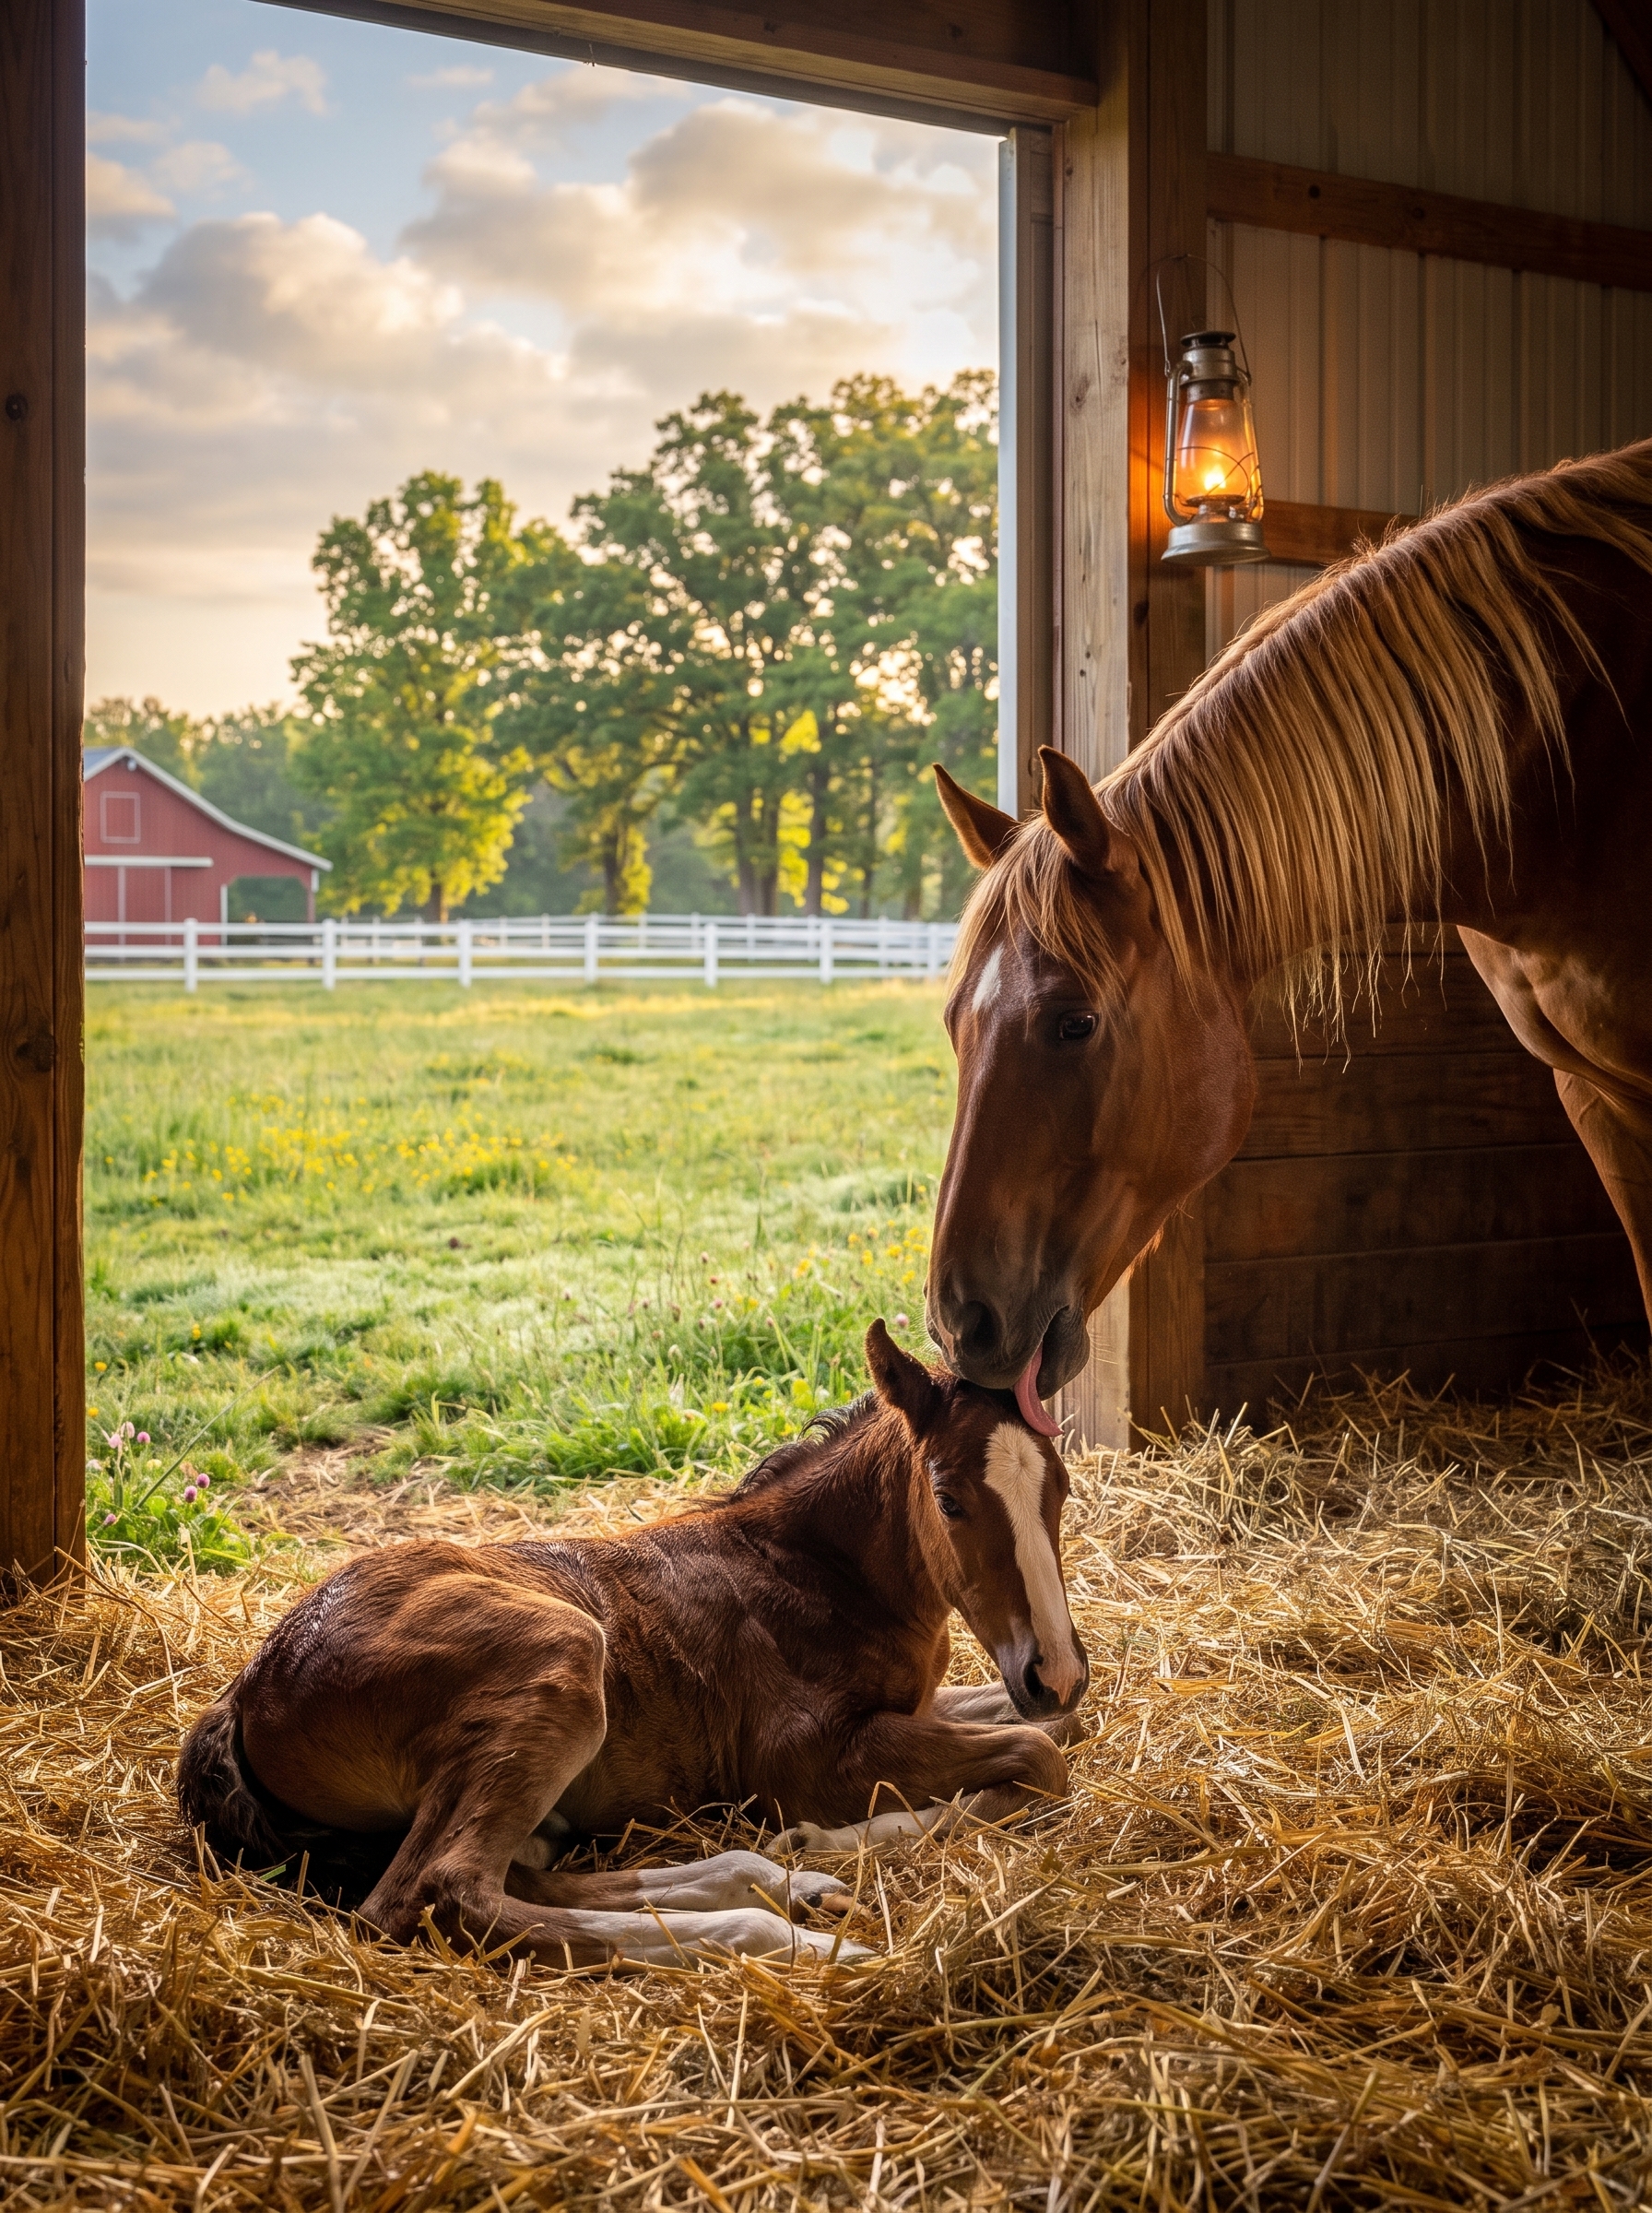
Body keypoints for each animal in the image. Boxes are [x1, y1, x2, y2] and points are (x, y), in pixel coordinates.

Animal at [177, 1322, 1089, 1967]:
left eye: (1063, 1487)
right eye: (949, 1496)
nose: (1056, 1670)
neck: (812, 1569)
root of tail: (245, 1693)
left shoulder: (925, 1704)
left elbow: (1053, 1733)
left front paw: (811, 1848)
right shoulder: (807, 1759)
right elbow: (1041, 1758)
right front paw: (826, 1837)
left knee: (512, 1870)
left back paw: (783, 1885)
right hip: (560, 1656)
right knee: (439, 1892)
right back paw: (782, 1930)